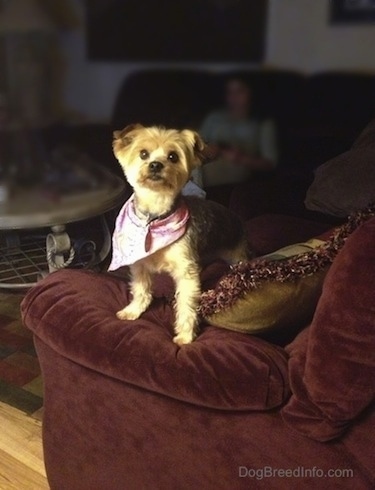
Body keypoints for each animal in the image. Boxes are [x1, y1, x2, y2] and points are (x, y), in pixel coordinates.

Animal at [110, 124, 248, 346]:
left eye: (173, 156)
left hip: (238, 256)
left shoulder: (186, 271)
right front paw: (133, 310)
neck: (155, 218)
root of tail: (237, 219)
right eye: (143, 154)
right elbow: (141, 289)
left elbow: (186, 304)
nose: (155, 165)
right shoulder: (139, 264)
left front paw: (185, 335)